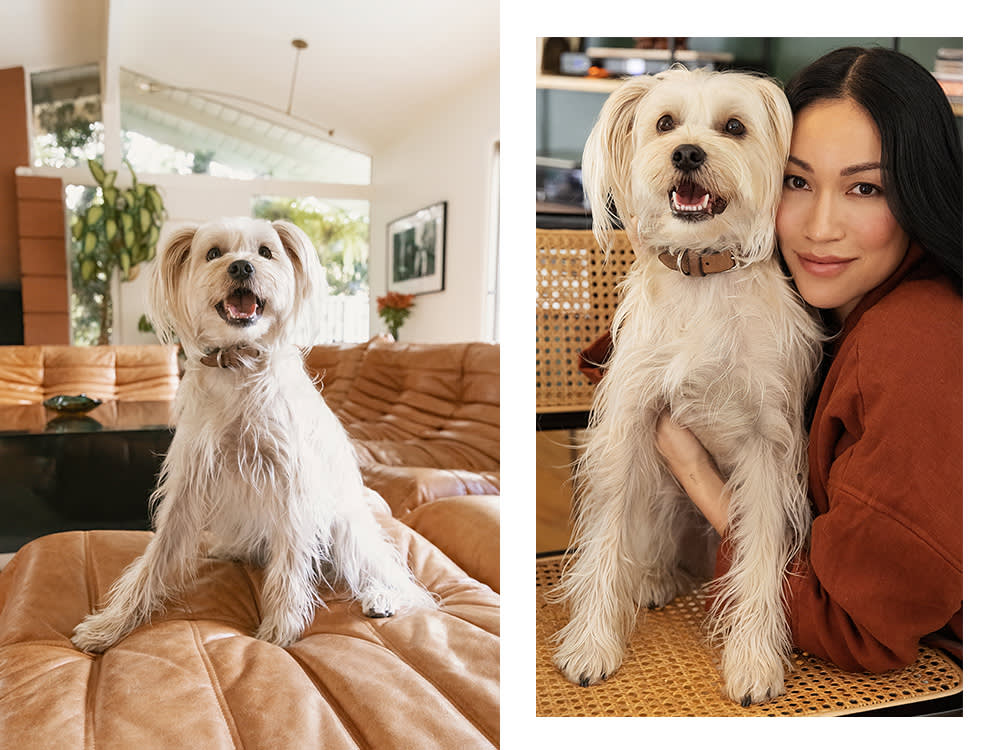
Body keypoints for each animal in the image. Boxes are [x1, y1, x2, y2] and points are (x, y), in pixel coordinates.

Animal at [70, 216, 430, 652]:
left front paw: (281, 627)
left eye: (265, 252)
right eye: (213, 253)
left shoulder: (292, 485)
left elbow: (290, 563)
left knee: (390, 575)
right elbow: (154, 559)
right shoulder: (188, 482)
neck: (238, 363)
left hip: (346, 529)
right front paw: (111, 624)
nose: (241, 266)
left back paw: (381, 595)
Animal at [552, 69, 824, 704]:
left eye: (734, 127)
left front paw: (753, 658)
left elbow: (760, 554)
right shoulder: (628, 429)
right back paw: (653, 578)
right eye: (665, 123)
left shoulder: (769, 450)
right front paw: (592, 644)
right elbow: (605, 540)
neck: (705, 282)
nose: (687, 153)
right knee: (646, 534)